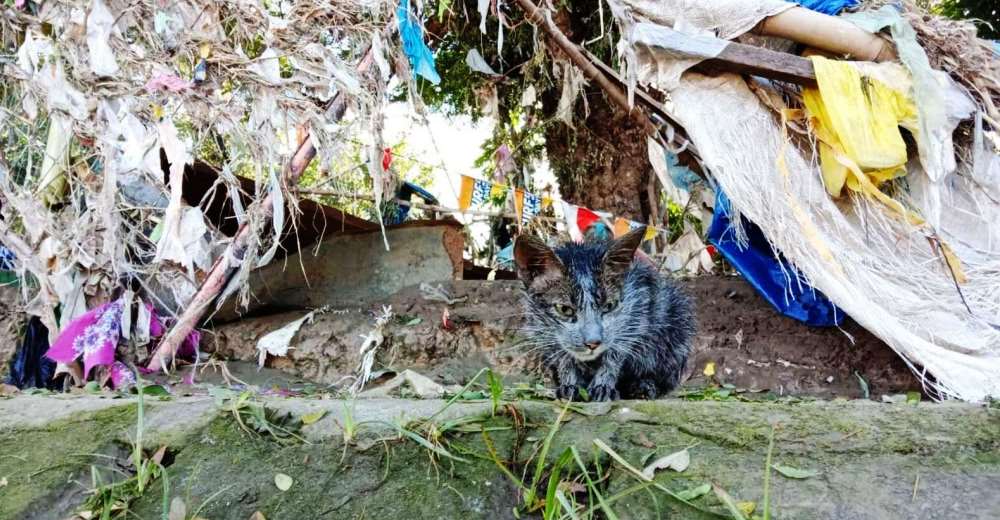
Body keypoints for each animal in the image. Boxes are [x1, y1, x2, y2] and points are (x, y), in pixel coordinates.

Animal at [516, 228, 696, 402]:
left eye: (609, 306)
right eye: (564, 309)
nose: (593, 343)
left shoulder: (635, 309)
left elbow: (614, 353)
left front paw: (603, 386)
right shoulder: (542, 331)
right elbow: (564, 357)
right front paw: (570, 385)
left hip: (676, 319)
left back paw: (643, 385)